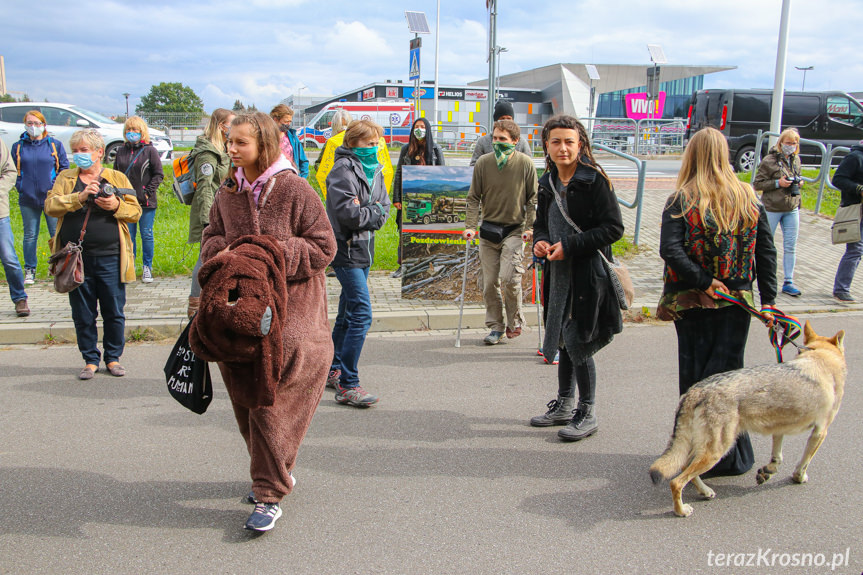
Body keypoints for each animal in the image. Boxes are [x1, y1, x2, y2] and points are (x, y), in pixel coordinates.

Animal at [652, 322, 848, 520]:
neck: (819, 356)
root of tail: (695, 390)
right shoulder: (820, 432)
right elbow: (804, 463)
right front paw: (798, 478)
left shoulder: (779, 427)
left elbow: (777, 458)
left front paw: (767, 472)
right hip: (716, 451)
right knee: (676, 482)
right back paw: (681, 510)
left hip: (702, 448)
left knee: (685, 468)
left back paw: (705, 491)